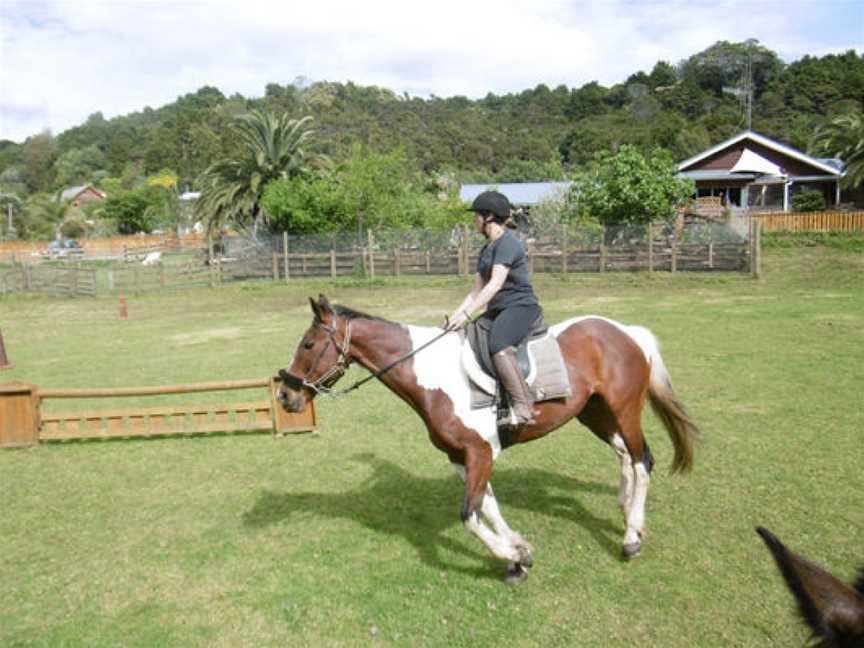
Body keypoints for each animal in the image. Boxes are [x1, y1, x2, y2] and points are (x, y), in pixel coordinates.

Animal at [278, 294, 704, 584]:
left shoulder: (480, 452)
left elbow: (470, 515)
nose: (285, 396)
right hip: (593, 413)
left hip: (624, 409)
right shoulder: (460, 457)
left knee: (641, 460)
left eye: (308, 345)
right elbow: (489, 507)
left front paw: (515, 554)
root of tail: (627, 332)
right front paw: (518, 554)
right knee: (626, 455)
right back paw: (628, 512)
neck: (432, 376)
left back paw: (632, 537)